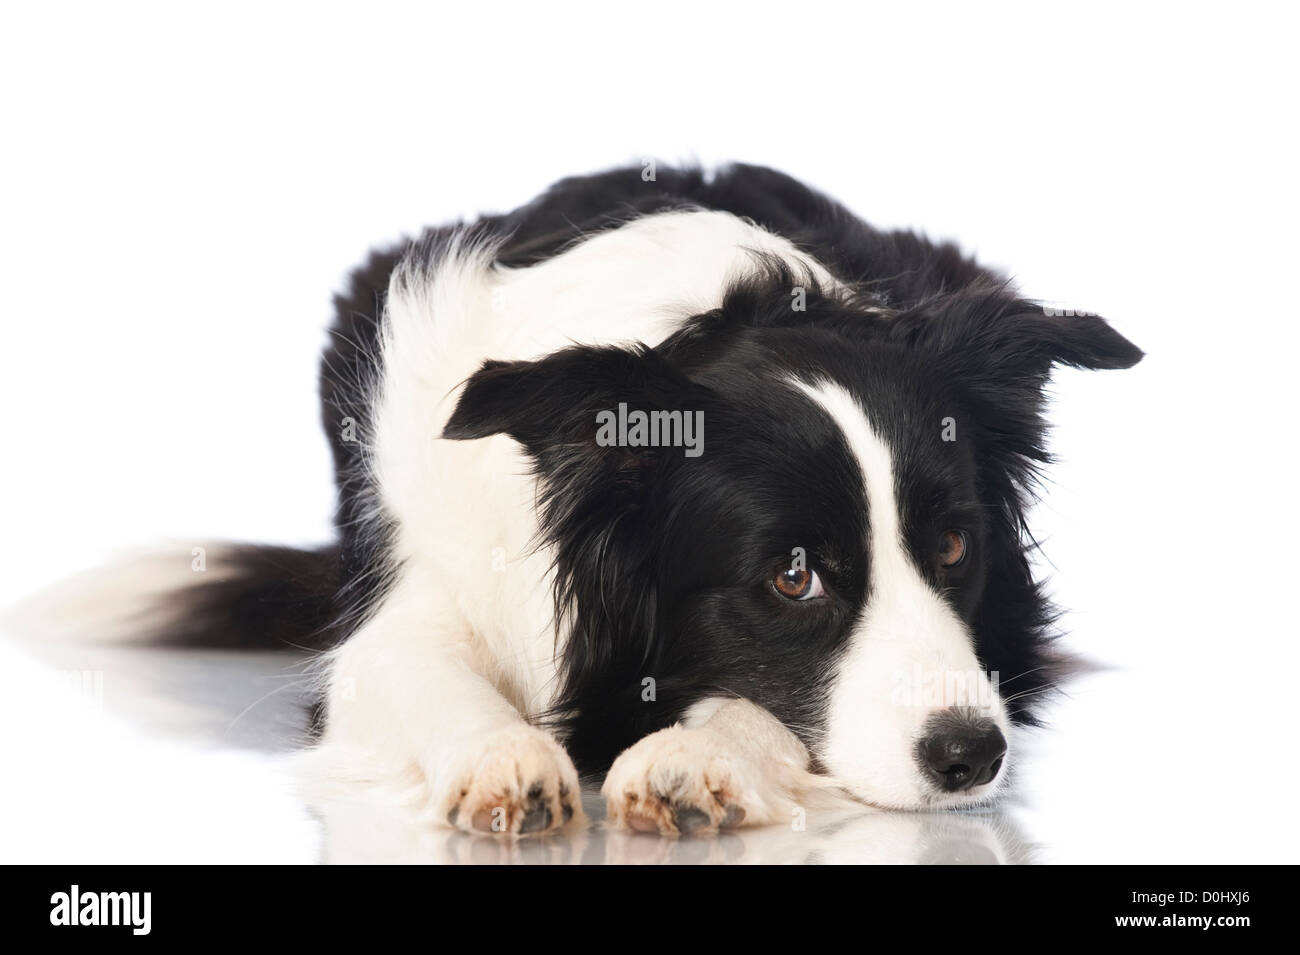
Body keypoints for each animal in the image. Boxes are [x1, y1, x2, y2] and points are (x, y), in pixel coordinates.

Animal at [147, 164, 1138, 836]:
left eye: (954, 548)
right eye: (792, 577)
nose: (973, 756)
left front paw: (695, 758)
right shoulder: (403, 606)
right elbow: (419, 667)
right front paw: (504, 758)